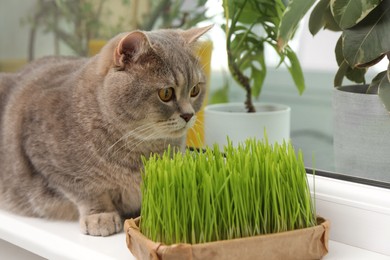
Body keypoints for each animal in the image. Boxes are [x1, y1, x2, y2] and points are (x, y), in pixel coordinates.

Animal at [0, 25, 212, 236]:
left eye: (195, 90)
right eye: (166, 93)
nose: (189, 114)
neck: (141, 148)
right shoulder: (47, 160)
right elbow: (87, 191)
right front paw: (100, 216)